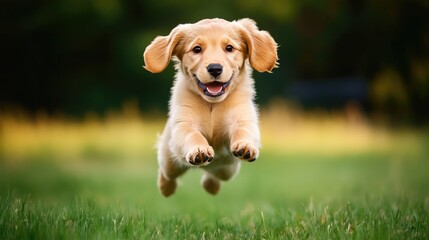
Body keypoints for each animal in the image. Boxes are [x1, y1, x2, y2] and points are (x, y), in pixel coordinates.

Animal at [144, 17, 278, 196]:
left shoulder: (242, 117)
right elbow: (192, 134)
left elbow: (243, 130)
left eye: (229, 48)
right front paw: (199, 150)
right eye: (197, 49)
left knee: (213, 175)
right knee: (167, 173)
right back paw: (165, 188)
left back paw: (211, 187)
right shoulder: (184, 124)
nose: (215, 68)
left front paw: (245, 146)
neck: (212, 104)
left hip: (228, 169)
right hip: (169, 157)